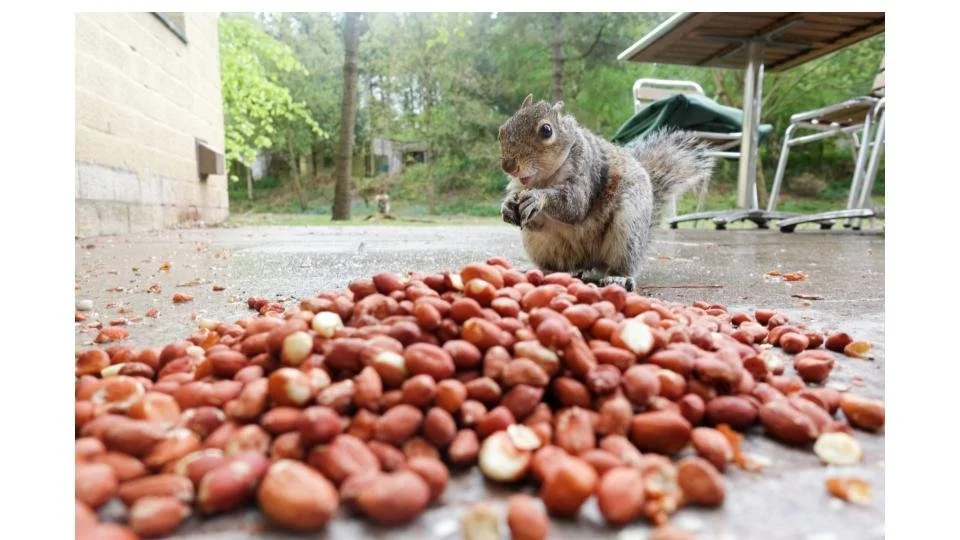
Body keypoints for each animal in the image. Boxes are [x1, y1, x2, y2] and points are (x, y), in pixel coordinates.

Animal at [498, 94, 715, 291]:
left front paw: (537, 198)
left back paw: (618, 278)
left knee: (621, 263)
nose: (508, 166)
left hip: (628, 230)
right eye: (503, 129)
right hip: (541, 245)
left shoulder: (586, 171)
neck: (544, 179)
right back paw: (541, 271)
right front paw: (508, 206)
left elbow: (574, 206)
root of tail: (589, 262)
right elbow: (532, 219)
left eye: (546, 130)